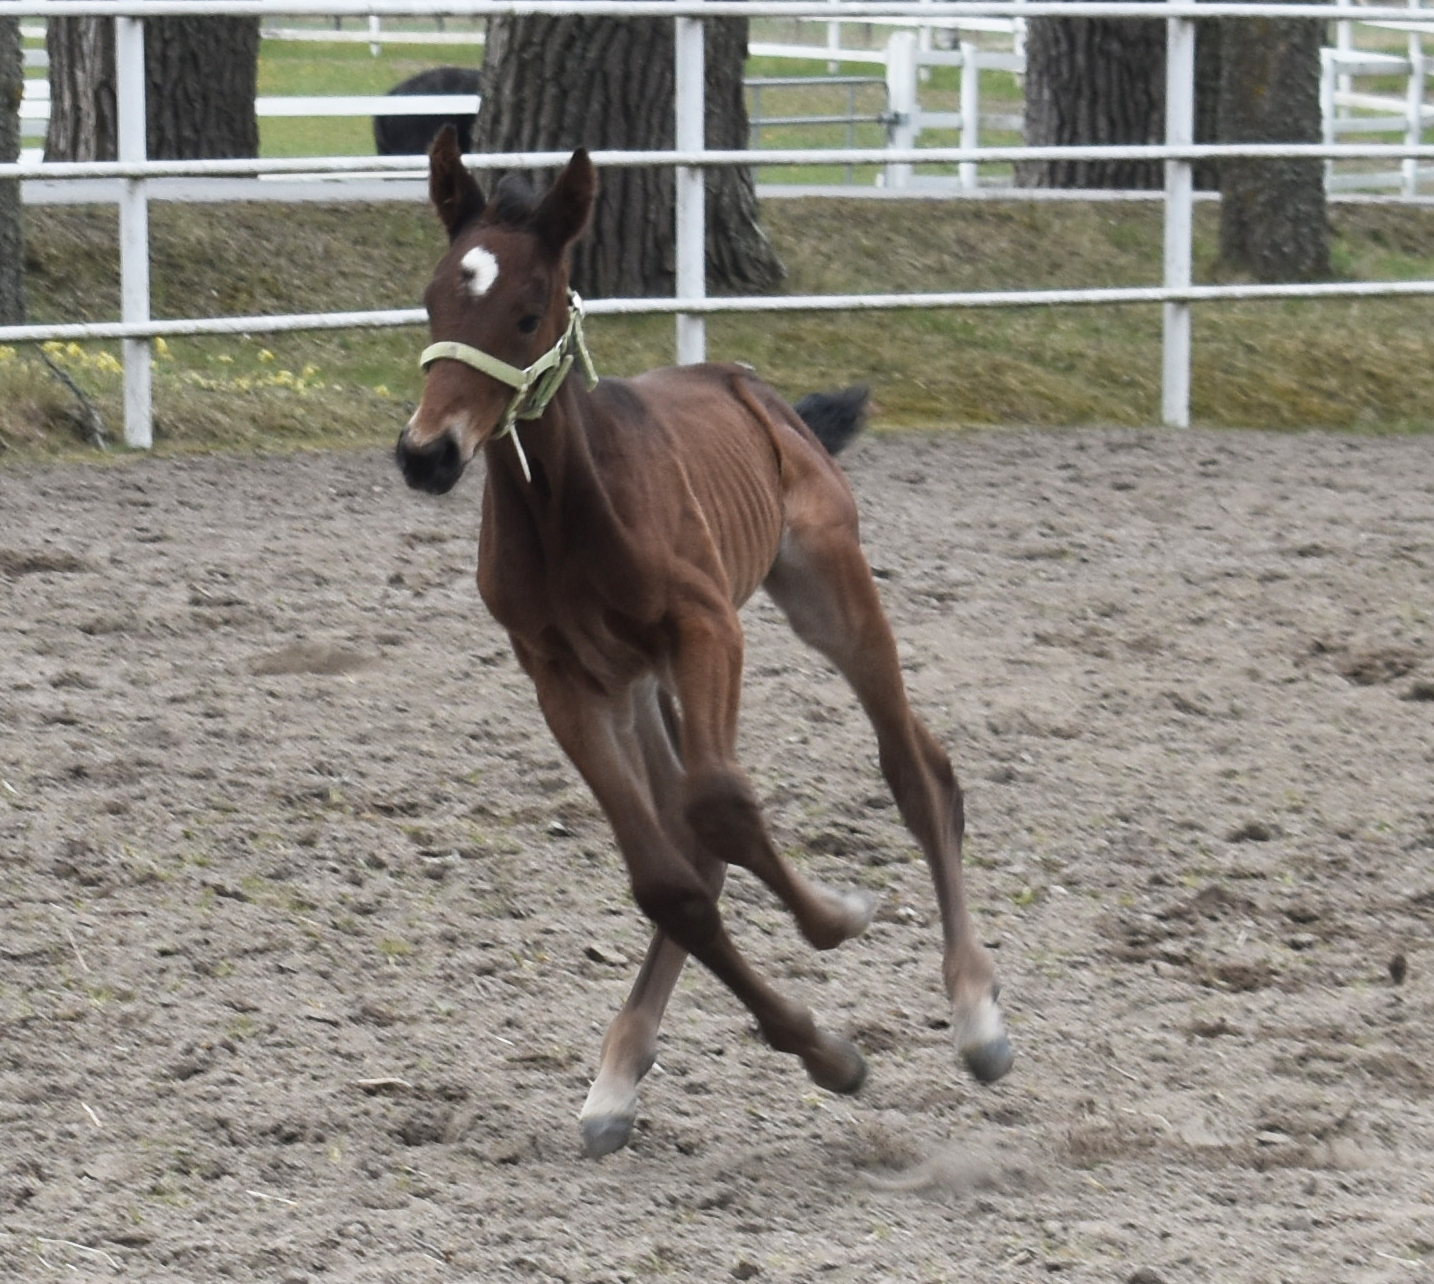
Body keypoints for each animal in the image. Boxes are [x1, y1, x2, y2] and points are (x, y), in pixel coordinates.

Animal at [392, 127, 1009, 1153]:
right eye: (435, 298)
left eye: (527, 312)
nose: (427, 454)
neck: (567, 512)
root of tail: (752, 386)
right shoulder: (562, 675)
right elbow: (668, 878)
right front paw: (825, 1052)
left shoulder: (706, 626)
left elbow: (723, 806)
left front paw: (840, 915)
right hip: (643, 686)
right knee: (698, 840)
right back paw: (620, 1072)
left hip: (826, 591)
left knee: (916, 772)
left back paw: (976, 1017)